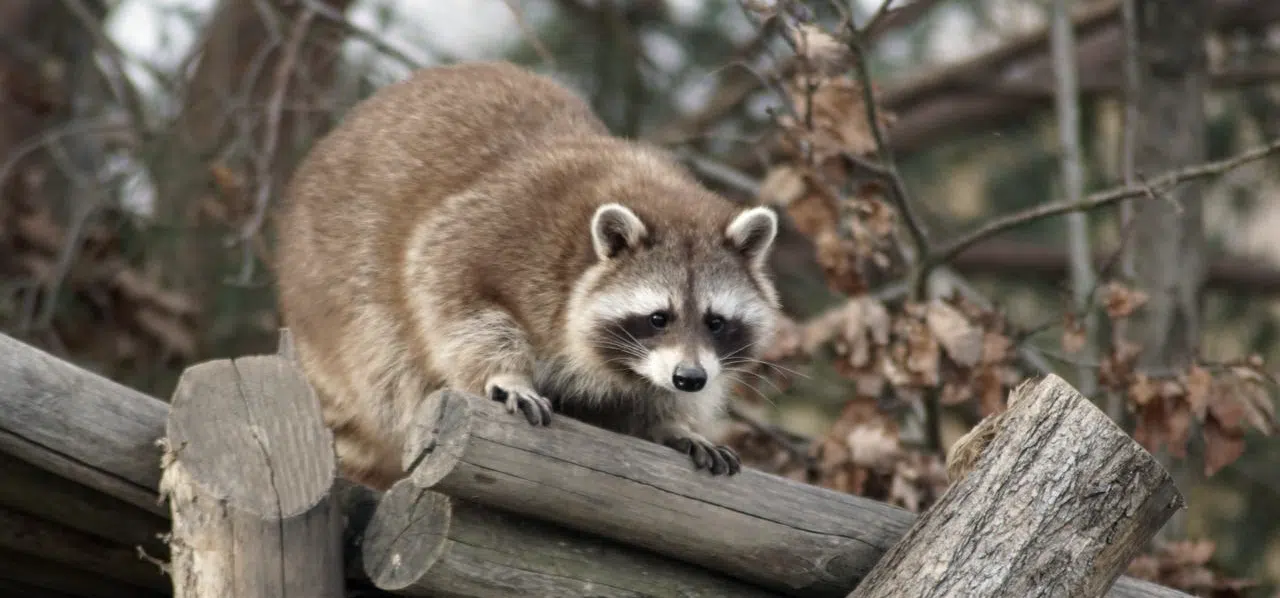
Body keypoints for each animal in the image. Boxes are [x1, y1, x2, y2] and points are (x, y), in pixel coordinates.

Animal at [274, 61, 781, 490]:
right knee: (387, 358)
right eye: (659, 317)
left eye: (716, 322)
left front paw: (672, 421)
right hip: (334, 293)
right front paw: (506, 373)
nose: (689, 379)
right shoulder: (503, 231)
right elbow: (450, 293)